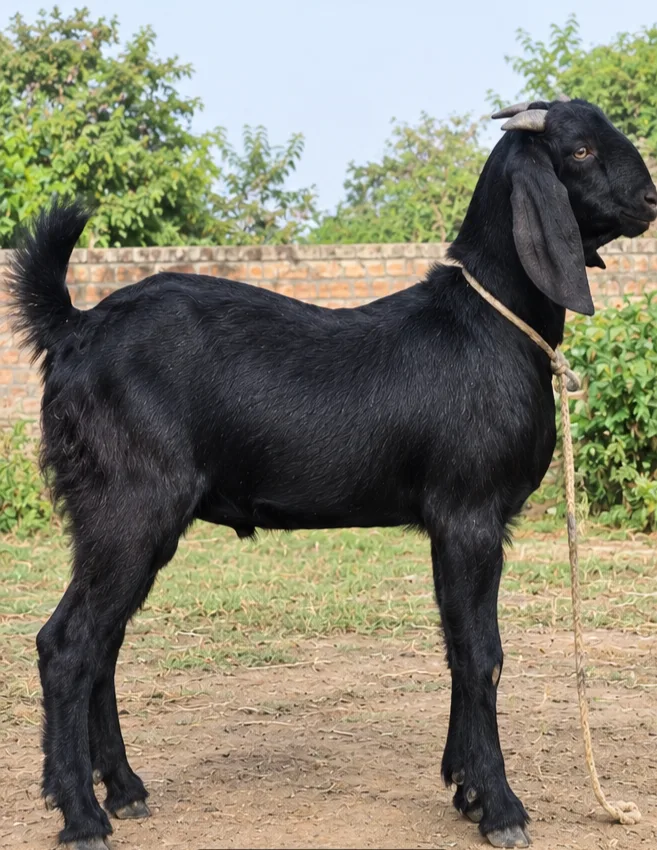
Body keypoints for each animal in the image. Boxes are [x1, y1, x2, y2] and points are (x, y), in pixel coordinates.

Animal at [7, 98, 657, 850]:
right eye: (579, 150)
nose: (650, 198)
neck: (487, 325)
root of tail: (73, 329)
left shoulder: (453, 522)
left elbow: (456, 645)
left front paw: (463, 788)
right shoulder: (469, 512)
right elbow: (481, 652)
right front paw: (499, 807)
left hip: (116, 517)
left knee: (102, 643)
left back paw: (124, 790)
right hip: (130, 504)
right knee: (68, 644)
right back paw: (82, 815)